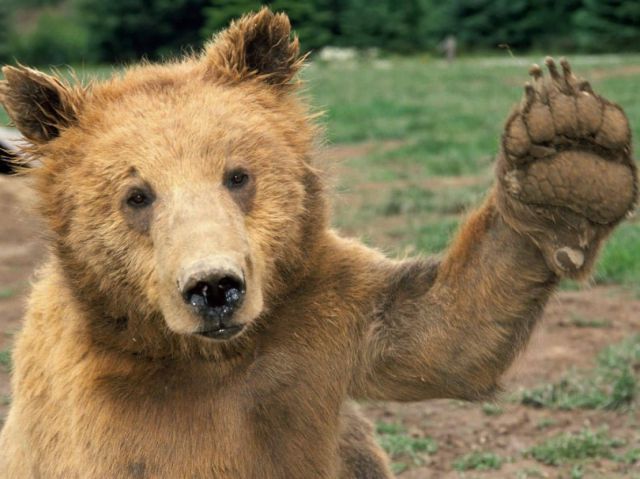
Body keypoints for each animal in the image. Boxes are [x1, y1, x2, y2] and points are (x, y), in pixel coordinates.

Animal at [0, 7, 637, 479]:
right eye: (136, 195)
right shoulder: (108, 416)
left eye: (238, 175)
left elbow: (443, 333)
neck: (206, 358)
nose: (214, 288)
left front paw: (568, 158)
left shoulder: (315, 325)